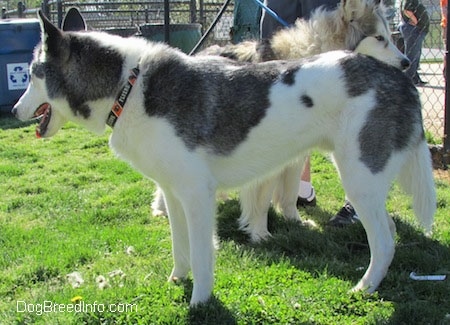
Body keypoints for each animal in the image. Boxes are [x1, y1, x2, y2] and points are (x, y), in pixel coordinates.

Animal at [13, 10, 436, 304]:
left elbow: (202, 255)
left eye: (33, 73)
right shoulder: (174, 194)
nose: (15, 111)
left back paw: (364, 287)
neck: (128, 87)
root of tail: (399, 77)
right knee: (388, 232)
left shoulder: (198, 196)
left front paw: (200, 302)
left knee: (385, 241)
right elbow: (180, 247)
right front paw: (177, 280)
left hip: (359, 180)